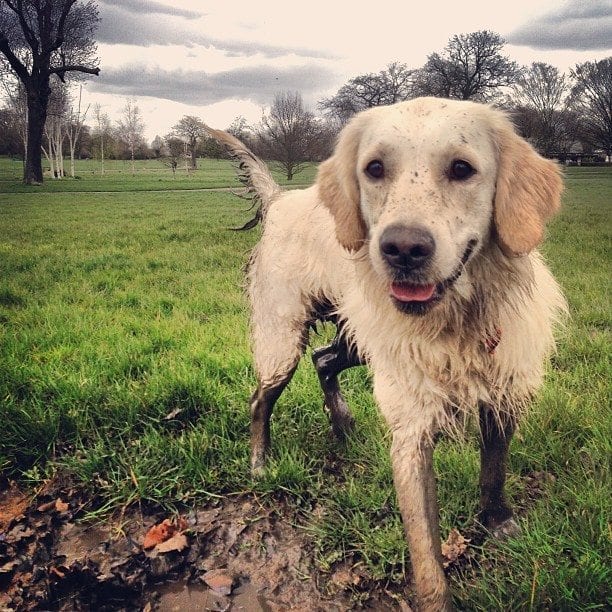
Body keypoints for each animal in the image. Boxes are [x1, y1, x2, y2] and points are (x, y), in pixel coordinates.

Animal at [208, 98, 568, 608]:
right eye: (374, 168)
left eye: (462, 168)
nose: (402, 248)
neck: (459, 321)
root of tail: (280, 200)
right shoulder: (411, 434)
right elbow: (427, 554)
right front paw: (438, 597)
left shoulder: (503, 393)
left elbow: (494, 472)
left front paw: (497, 524)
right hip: (283, 341)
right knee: (262, 399)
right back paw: (261, 462)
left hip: (358, 341)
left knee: (324, 360)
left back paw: (342, 425)